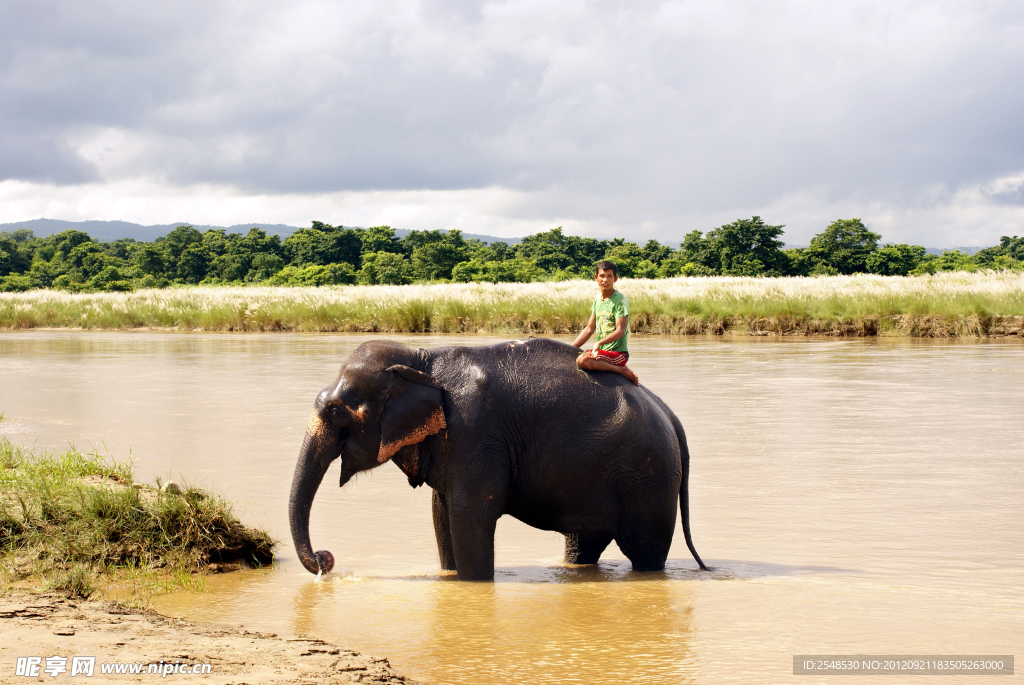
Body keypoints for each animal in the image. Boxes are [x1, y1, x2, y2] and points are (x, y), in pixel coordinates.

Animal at [288, 335, 704, 577]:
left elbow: (469, 514)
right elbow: (441, 513)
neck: (422, 359)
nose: (325, 560)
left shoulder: (475, 431)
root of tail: (670, 414)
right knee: (583, 544)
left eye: (337, 412)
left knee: (646, 551)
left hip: (648, 478)